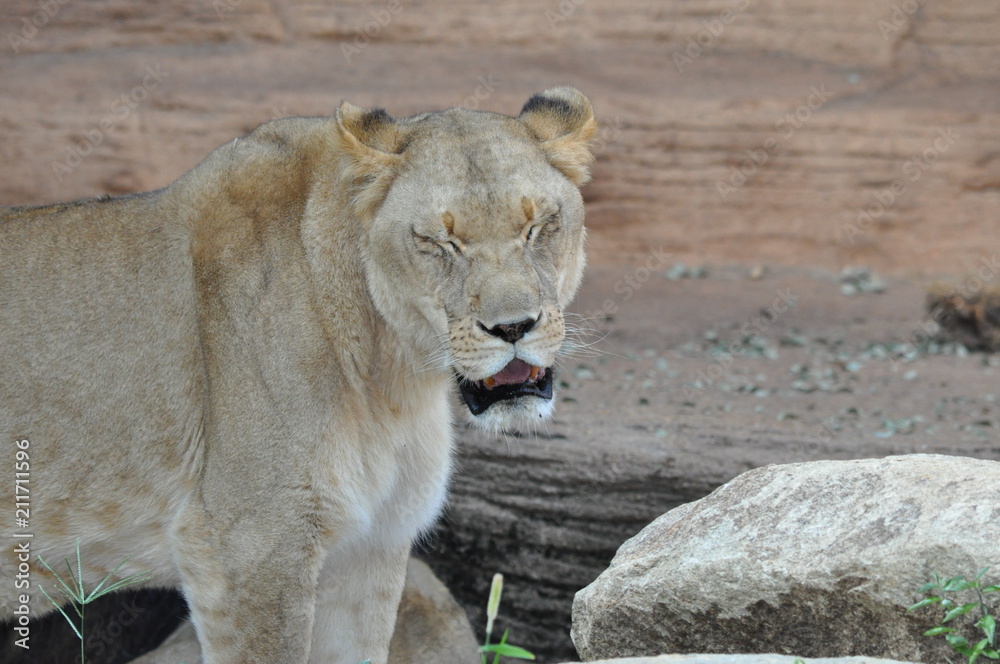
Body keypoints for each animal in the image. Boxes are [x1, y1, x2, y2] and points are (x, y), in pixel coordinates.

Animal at [0, 86, 595, 664]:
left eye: (537, 227)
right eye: (438, 242)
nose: (513, 326)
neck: (391, 379)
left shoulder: (367, 549)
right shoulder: (248, 552)